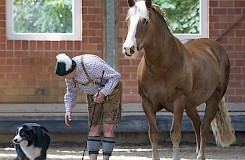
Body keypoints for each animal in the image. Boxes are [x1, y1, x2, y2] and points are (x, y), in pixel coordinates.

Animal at [122, 0, 235, 160]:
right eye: (127, 21)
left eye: (145, 21)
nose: (128, 48)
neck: (162, 66)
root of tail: (216, 48)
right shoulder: (147, 103)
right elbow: (153, 134)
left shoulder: (178, 102)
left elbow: (175, 134)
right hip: (191, 105)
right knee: (197, 123)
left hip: (213, 98)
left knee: (204, 127)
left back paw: (201, 155)